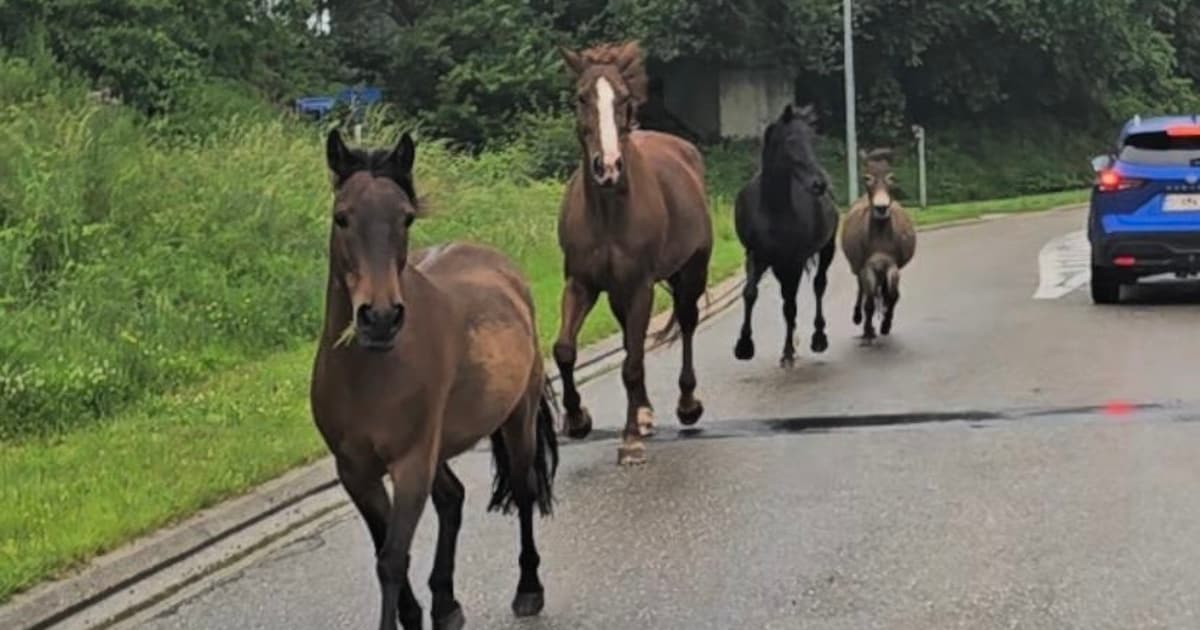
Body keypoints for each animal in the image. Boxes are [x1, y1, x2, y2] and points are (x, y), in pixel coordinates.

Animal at [310, 129, 559, 630]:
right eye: (341, 217)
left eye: (405, 217)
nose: (380, 318)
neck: (369, 375)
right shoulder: (356, 472)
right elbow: (384, 550)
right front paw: (416, 613)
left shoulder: (410, 465)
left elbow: (391, 558)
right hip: (438, 447)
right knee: (452, 498)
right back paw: (446, 604)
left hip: (515, 418)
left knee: (522, 490)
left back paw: (528, 589)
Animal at [553, 41, 713, 466]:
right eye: (581, 97)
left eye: (623, 98)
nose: (607, 167)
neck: (608, 211)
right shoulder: (581, 284)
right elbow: (565, 350)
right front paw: (577, 419)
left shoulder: (641, 286)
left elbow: (632, 364)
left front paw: (629, 442)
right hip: (617, 293)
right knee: (630, 339)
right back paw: (642, 413)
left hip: (692, 272)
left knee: (686, 323)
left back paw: (686, 405)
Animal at [733, 104, 839, 367]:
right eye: (791, 140)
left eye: (812, 139)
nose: (819, 184)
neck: (772, 209)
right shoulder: (756, 255)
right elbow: (750, 293)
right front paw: (744, 346)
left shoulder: (795, 261)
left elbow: (791, 304)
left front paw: (789, 351)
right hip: (779, 266)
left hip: (825, 251)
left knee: (818, 285)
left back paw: (817, 338)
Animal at [840, 148, 917, 342]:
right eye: (866, 178)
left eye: (892, 177)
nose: (881, 208)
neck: (880, 236)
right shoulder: (867, 266)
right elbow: (868, 301)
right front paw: (868, 329)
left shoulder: (892, 264)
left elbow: (893, 295)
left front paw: (885, 325)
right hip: (858, 267)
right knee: (862, 289)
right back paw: (858, 317)